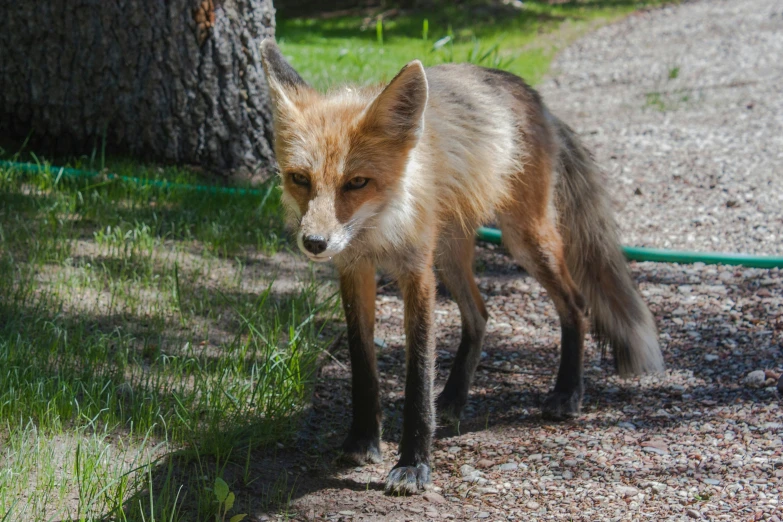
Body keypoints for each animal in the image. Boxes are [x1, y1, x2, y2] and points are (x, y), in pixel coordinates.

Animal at [262, 39, 660, 492]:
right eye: (300, 179)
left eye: (357, 182)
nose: (314, 243)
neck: (378, 232)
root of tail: (531, 95)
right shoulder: (354, 270)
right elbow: (363, 366)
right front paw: (363, 441)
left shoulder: (417, 273)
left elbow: (418, 374)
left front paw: (414, 464)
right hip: (451, 253)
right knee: (480, 315)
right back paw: (453, 399)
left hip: (523, 239)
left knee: (575, 305)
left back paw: (566, 393)